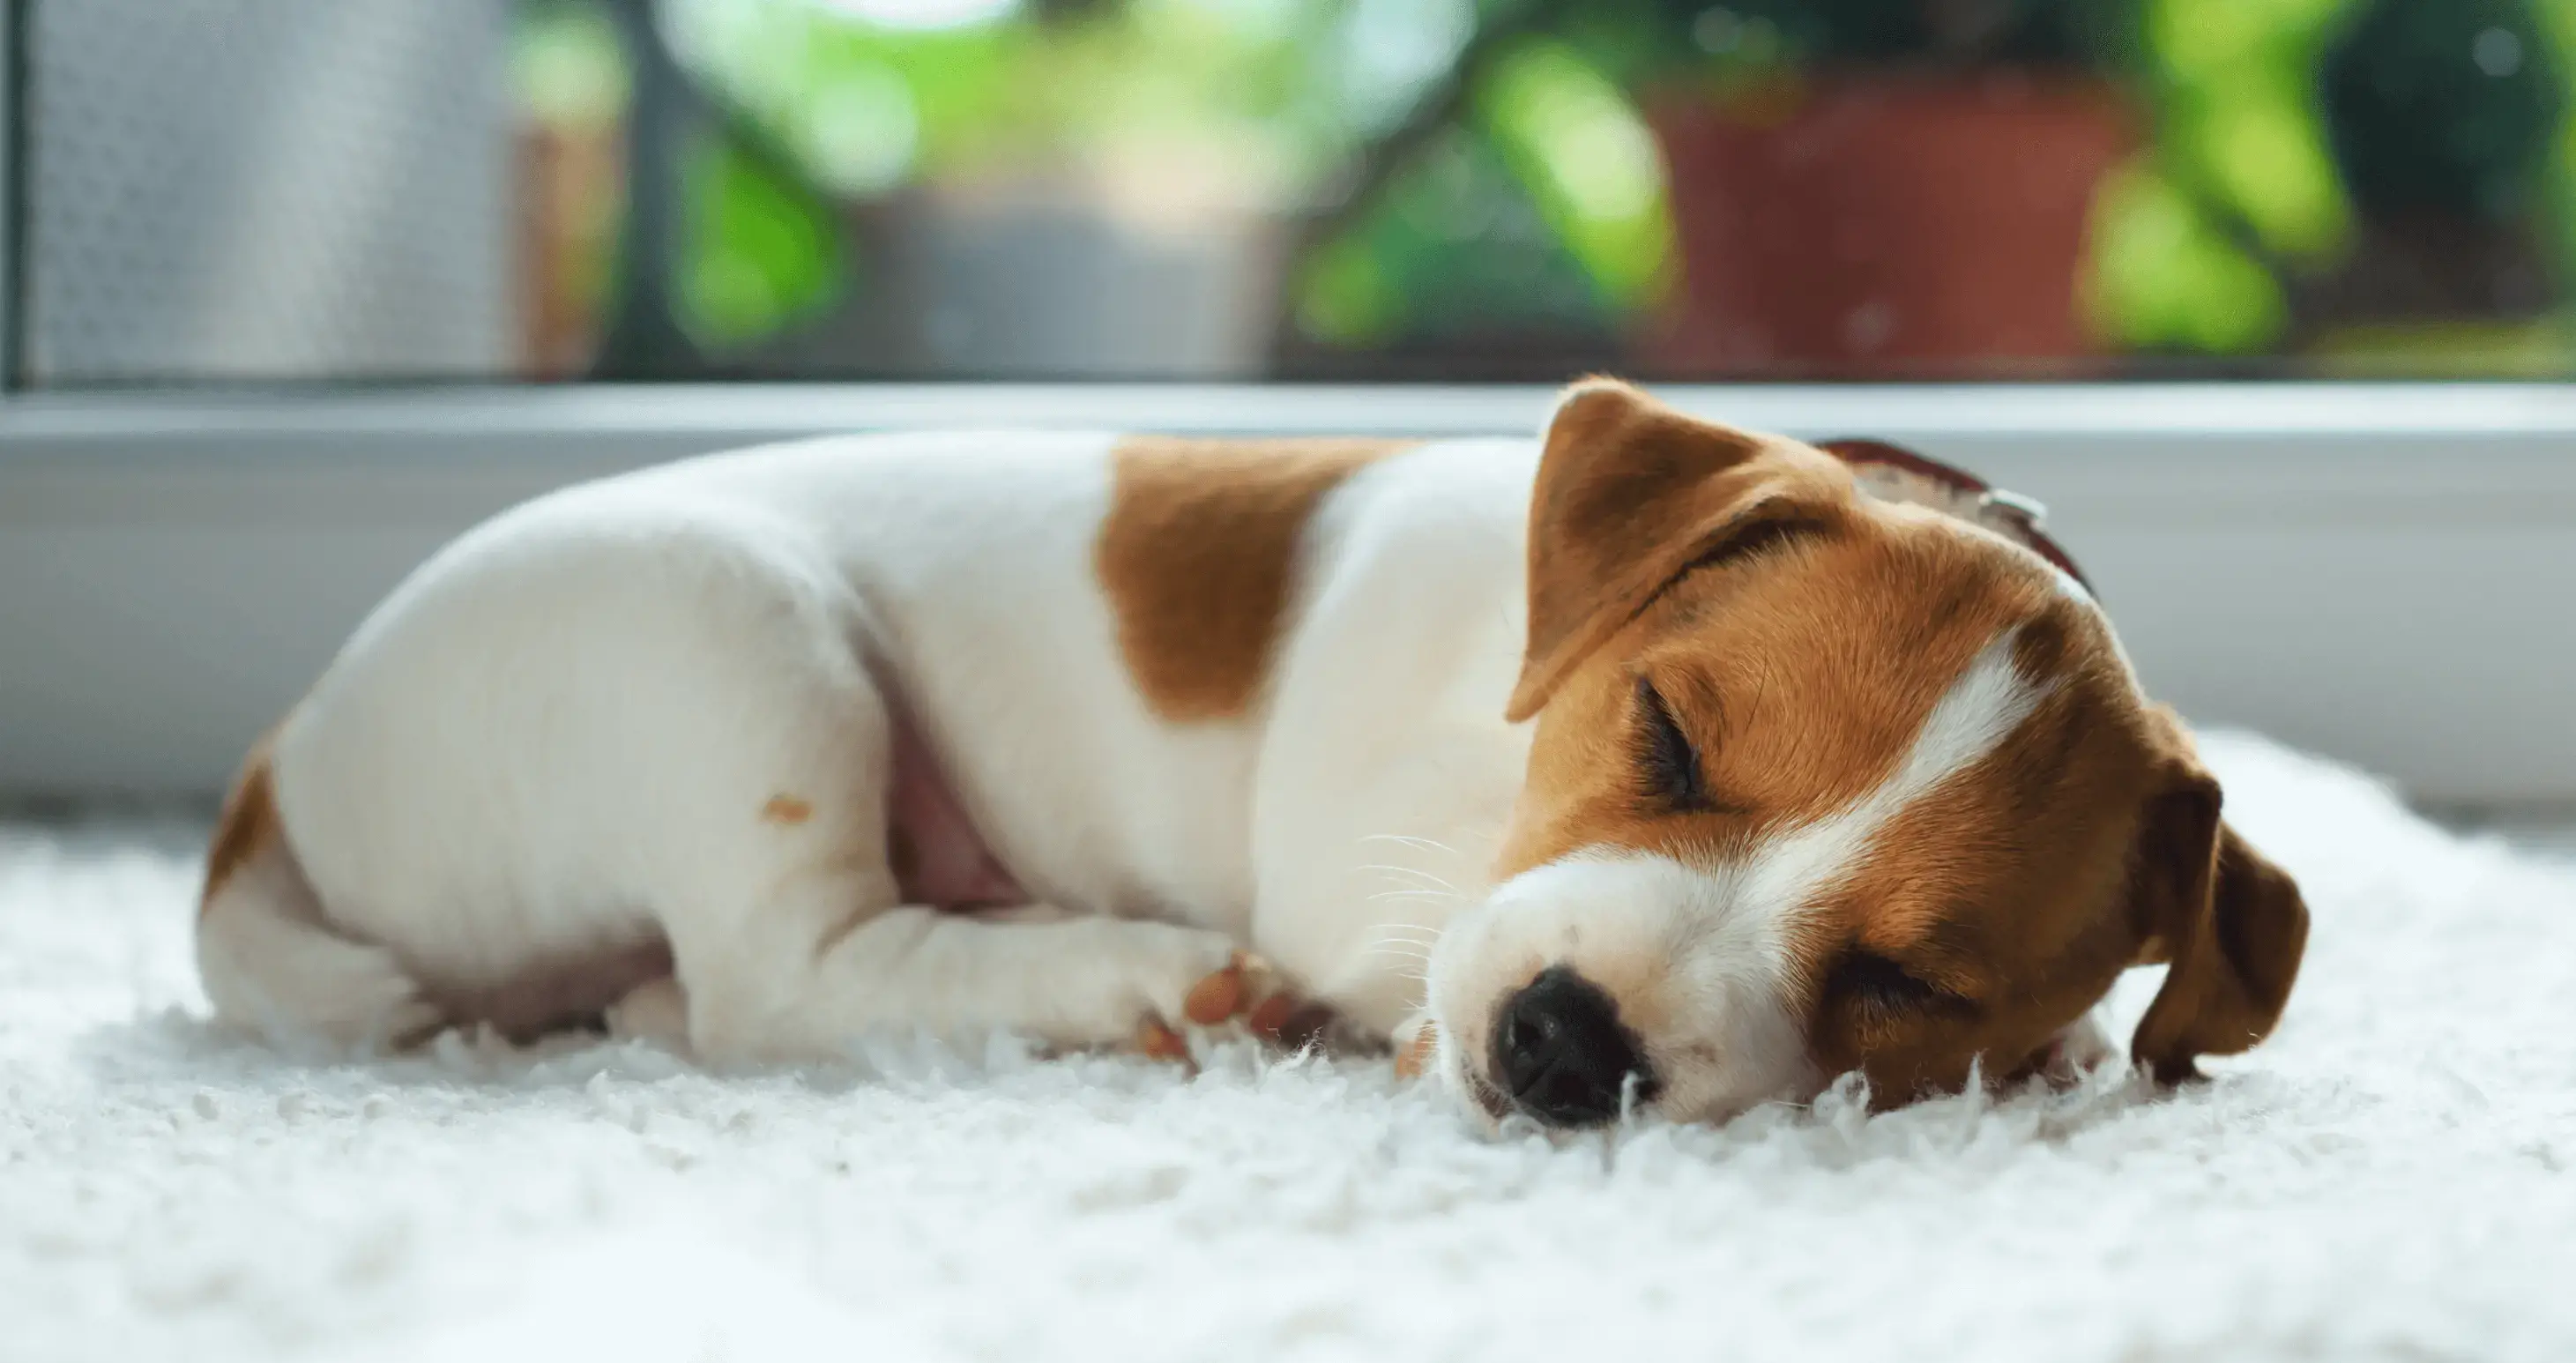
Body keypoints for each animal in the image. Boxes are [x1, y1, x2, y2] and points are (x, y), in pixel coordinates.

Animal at [190, 378, 2308, 1128]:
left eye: (1909, 980)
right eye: (1667, 733)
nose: (1563, 1045)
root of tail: (275, 769)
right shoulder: (1380, 879)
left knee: (684, 995)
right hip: (727, 635)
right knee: (782, 977)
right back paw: (1140, 975)